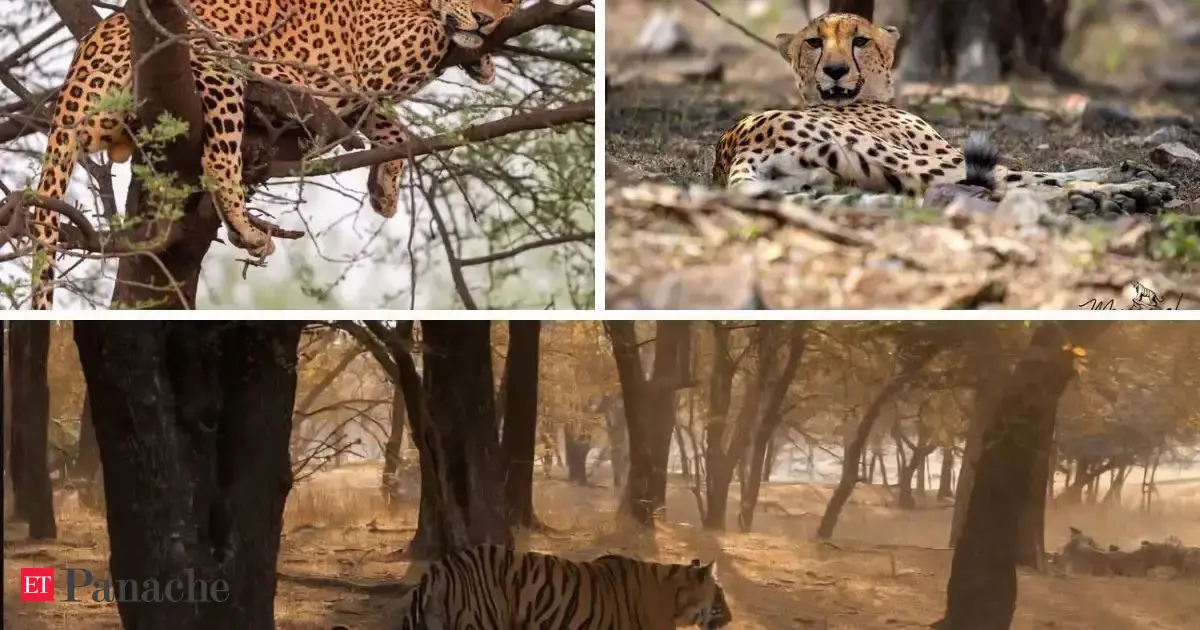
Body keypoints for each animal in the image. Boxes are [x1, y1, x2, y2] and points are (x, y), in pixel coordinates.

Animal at [28, 0, 515, 310]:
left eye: (509, 0)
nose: (485, 21)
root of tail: (79, 64)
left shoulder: (364, 97)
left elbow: (392, 130)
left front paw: (384, 190)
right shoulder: (377, 57)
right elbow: (430, 40)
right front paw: (473, 49)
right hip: (215, 59)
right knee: (217, 159)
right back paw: (246, 226)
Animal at [711, 12, 1175, 214]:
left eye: (860, 41)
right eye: (814, 43)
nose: (836, 70)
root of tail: (734, 146)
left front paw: (1130, 169)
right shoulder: (943, 153)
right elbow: (1034, 171)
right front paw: (1129, 176)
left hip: (845, 184)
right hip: (910, 161)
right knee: (1010, 183)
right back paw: (1128, 195)